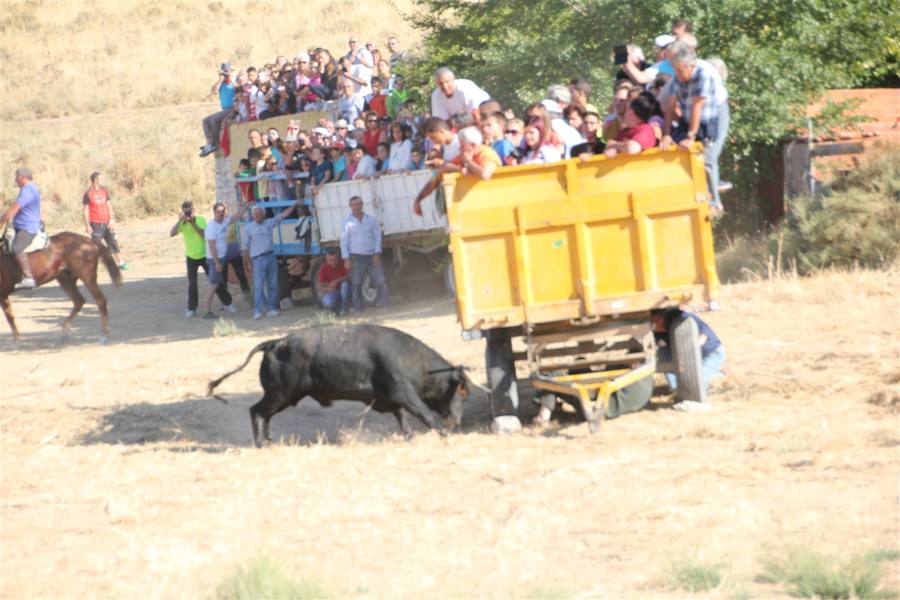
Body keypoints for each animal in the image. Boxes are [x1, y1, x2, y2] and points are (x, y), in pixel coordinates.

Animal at [208, 324, 486, 446]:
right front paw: (442, 433)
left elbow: (402, 416)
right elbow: (422, 413)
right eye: (462, 391)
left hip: (282, 396)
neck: (412, 358)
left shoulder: (391, 398)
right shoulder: (403, 391)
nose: (457, 421)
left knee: (265, 414)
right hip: (279, 394)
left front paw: (408, 436)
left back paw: (269, 438)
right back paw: (260, 443)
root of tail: (274, 343)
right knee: (257, 411)